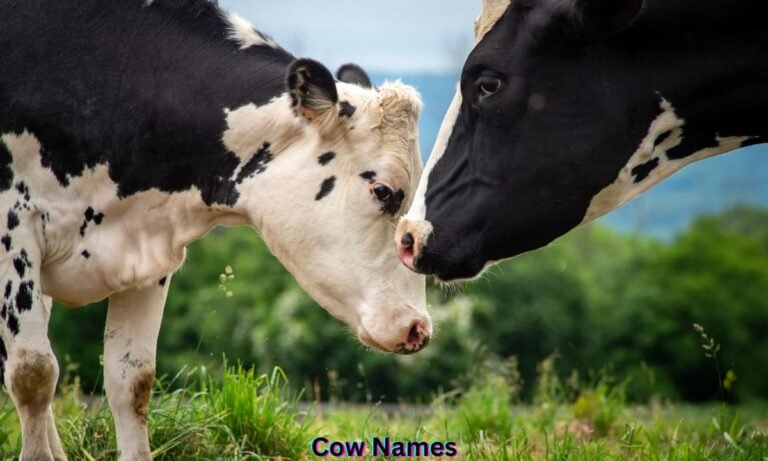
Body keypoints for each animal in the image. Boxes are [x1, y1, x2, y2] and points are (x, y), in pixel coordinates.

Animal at [0, 1, 430, 459]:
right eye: (382, 189)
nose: (419, 328)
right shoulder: (14, 233)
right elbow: (32, 373)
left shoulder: (146, 250)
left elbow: (131, 379)